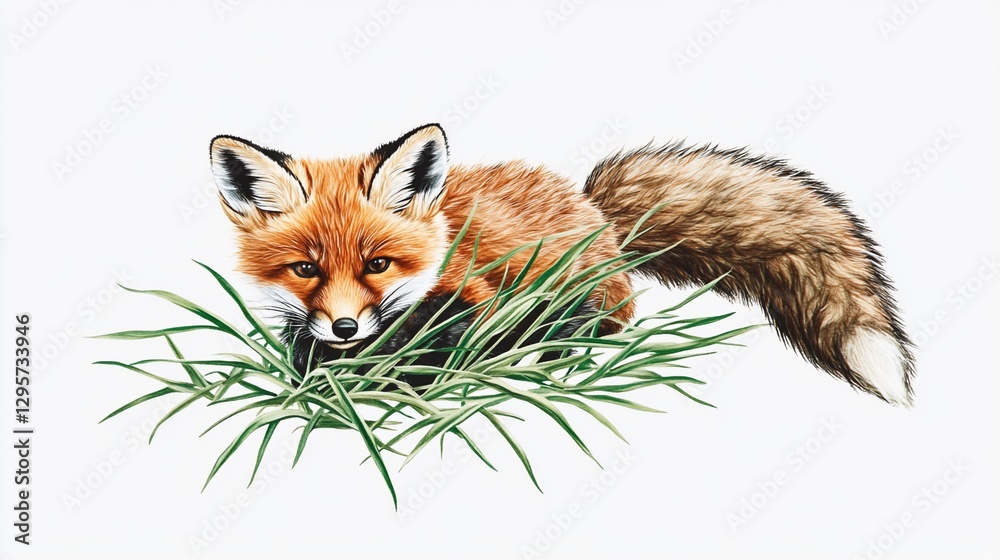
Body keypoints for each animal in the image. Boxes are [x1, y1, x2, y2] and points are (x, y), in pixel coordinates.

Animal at [209, 123, 915, 406]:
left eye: (378, 264)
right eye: (305, 270)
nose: (347, 328)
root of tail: (594, 209)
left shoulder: (477, 301)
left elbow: (440, 359)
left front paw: (400, 389)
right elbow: (308, 364)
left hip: (578, 303)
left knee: (598, 329)